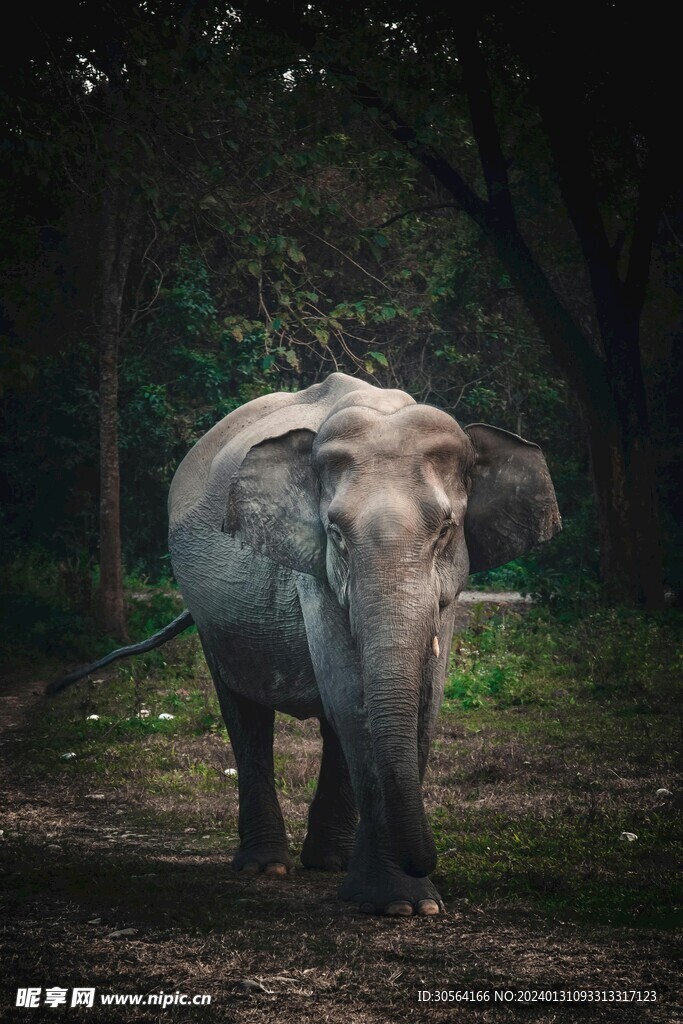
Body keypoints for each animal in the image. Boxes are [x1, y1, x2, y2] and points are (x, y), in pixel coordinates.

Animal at [48, 372, 561, 916]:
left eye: (446, 531)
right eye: (335, 533)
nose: (427, 857)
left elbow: (422, 704)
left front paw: (414, 904)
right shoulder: (313, 575)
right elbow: (351, 699)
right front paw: (399, 904)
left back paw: (329, 863)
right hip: (213, 618)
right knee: (244, 713)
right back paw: (266, 867)